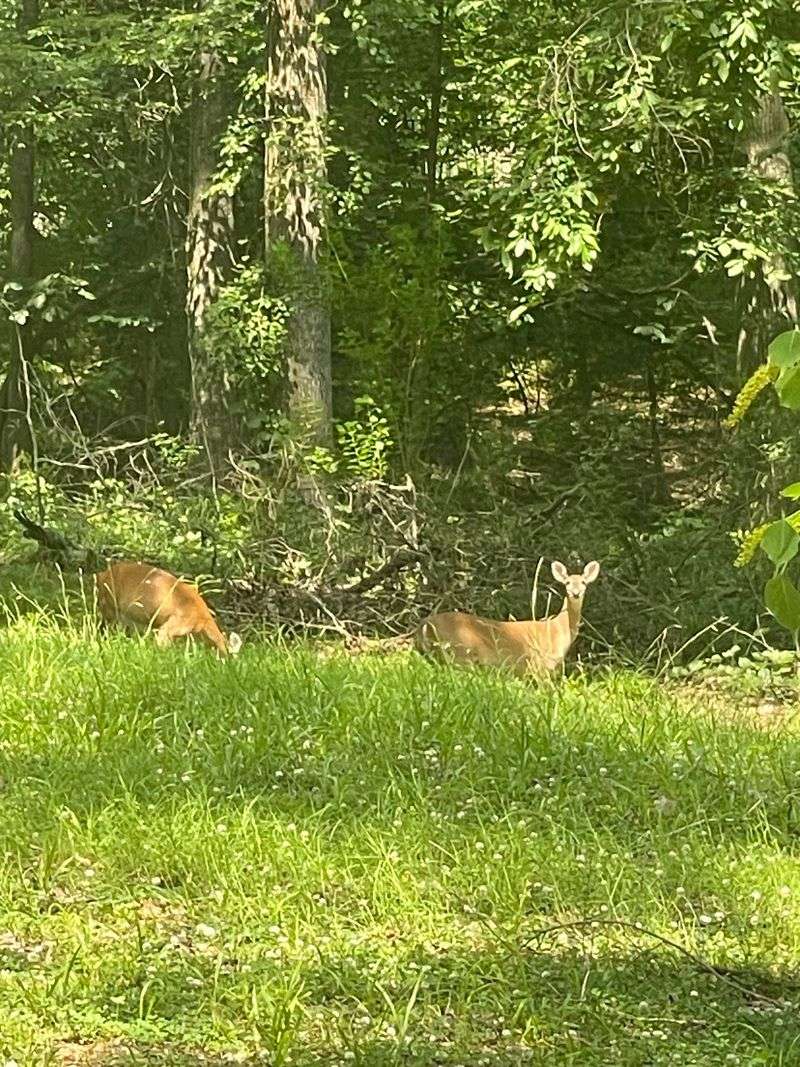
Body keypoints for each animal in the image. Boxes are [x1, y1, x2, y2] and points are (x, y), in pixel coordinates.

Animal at [415, 560, 600, 677]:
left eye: (584, 582)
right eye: (567, 583)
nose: (575, 593)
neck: (559, 628)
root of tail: (425, 625)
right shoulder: (540, 664)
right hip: (459, 652)